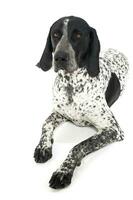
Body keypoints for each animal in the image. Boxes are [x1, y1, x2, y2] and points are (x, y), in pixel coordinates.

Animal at [34, 16, 129, 189]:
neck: (71, 85)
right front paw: (43, 146)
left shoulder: (113, 129)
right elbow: (46, 123)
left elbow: (79, 146)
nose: (59, 57)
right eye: (55, 34)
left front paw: (63, 171)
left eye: (78, 36)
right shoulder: (59, 113)